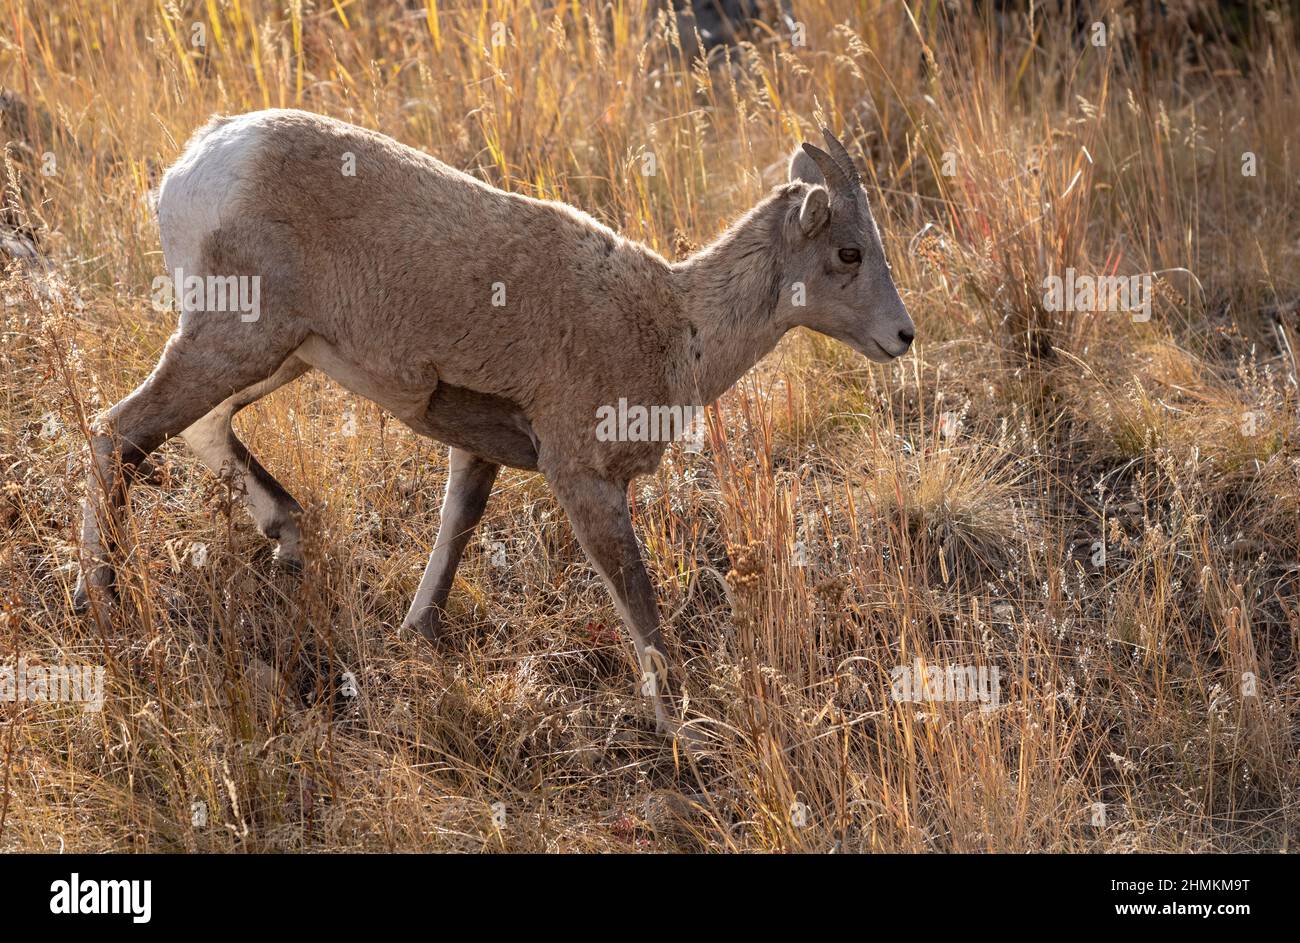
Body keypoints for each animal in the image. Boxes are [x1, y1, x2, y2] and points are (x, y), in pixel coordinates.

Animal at [76, 110, 915, 738]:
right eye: (849, 252)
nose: (902, 336)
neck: (679, 325)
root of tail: (197, 161)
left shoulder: (476, 455)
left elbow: (455, 533)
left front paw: (416, 635)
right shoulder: (582, 477)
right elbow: (638, 600)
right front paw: (680, 721)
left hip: (280, 355)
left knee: (200, 431)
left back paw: (285, 536)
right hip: (234, 341)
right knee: (117, 432)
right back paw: (101, 600)